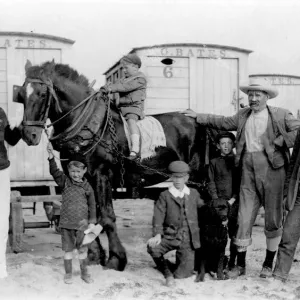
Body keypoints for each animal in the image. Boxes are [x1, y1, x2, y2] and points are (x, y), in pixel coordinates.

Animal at [14, 59, 216, 270]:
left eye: (42, 94)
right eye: (21, 95)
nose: (29, 135)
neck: (87, 124)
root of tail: (197, 120)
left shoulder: (102, 175)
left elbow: (107, 216)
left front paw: (116, 258)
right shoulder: (82, 177)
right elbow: (89, 215)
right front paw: (95, 255)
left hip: (197, 177)